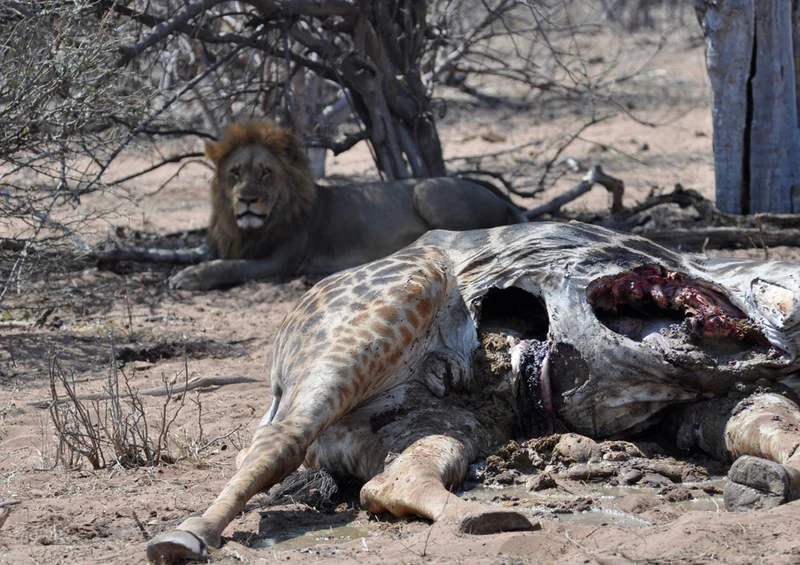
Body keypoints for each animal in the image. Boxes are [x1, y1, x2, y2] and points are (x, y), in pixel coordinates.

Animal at [168, 119, 526, 290]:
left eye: (266, 173)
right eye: (235, 173)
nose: (246, 199)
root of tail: (502, 196)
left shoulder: (281, 261)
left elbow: (229, 266)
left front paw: (189, 278)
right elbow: (212, 257)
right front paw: (188, 268)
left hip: (426, 189)